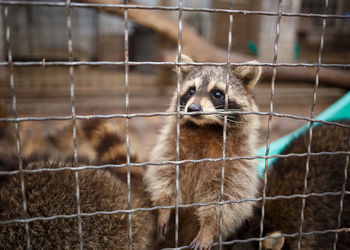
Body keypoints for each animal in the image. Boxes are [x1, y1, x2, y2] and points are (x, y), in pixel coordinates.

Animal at [144, 54, 262, 248]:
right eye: (191, 91)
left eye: (217, 93)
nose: (193, 109)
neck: (206, 128)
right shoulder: (171, 142)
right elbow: (164, 173)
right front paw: (164, 206)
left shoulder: (238, 158)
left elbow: (229, 195)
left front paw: (208, 227)